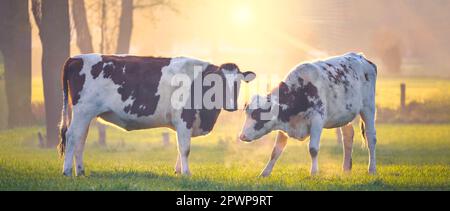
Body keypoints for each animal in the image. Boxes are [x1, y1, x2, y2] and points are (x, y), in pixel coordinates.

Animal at [58, 53, 255, 176]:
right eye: (218, 82)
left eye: (238, 83)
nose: (231, 106)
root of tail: (76, 58)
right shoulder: (184, 120)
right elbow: (185, 148)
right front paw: (186, 173)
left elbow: (180, 148)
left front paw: (178, 171)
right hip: (83, 110)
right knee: (72, 136)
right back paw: (67, 171)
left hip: (86, 115)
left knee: (80, 138)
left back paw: (80, 171)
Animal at [239, 52, 376, 176]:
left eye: (257, 115)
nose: (242, 136)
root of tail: (360, 56)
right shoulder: (284, 124)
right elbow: (276, 151)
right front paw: (265, 173)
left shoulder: (317, 120)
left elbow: (313, 149)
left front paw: (314, 172)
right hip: (344, 115)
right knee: (348, 137)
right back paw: (346, 168)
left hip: (368, 107)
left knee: (371, 137)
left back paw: (372, 169)